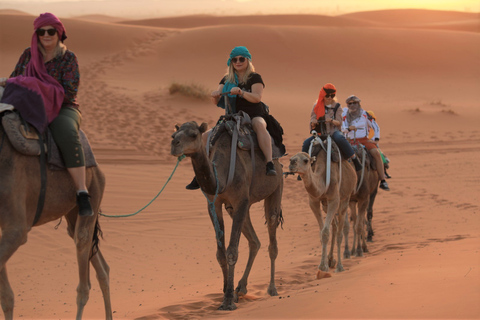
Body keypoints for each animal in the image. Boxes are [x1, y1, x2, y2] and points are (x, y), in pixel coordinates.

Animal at [0, 119, 111, 318]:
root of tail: (97, 167)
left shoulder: (16, 228)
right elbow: (6, 297)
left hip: (95, 188)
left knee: (84, 278)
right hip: (73, 211)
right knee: (102, 269)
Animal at [170, 120, 284, 310]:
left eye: (193, 135)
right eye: (173, 135)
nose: (174, 145)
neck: (221, 177)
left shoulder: (240, 200)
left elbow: (232, 251)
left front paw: (228, 300)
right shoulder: (214, 204)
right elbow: (220, 253)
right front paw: (225, 292)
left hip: (276, 187)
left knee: (272, 232)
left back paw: (272, 288)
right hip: (238, 207)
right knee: (254, 241)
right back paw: (241, 288)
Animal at [288, 142, 356, 276]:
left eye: (305, 160)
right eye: (291, 158)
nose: (291, 163)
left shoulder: (334, 200)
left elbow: (325, 232)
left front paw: (323, 266)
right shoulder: (313, 201)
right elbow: (322, 232)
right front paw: (323, 264)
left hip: (345, 199)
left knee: (340, 231)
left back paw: (339, 266)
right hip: (326, 206)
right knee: (334, 226)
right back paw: (331, 260)